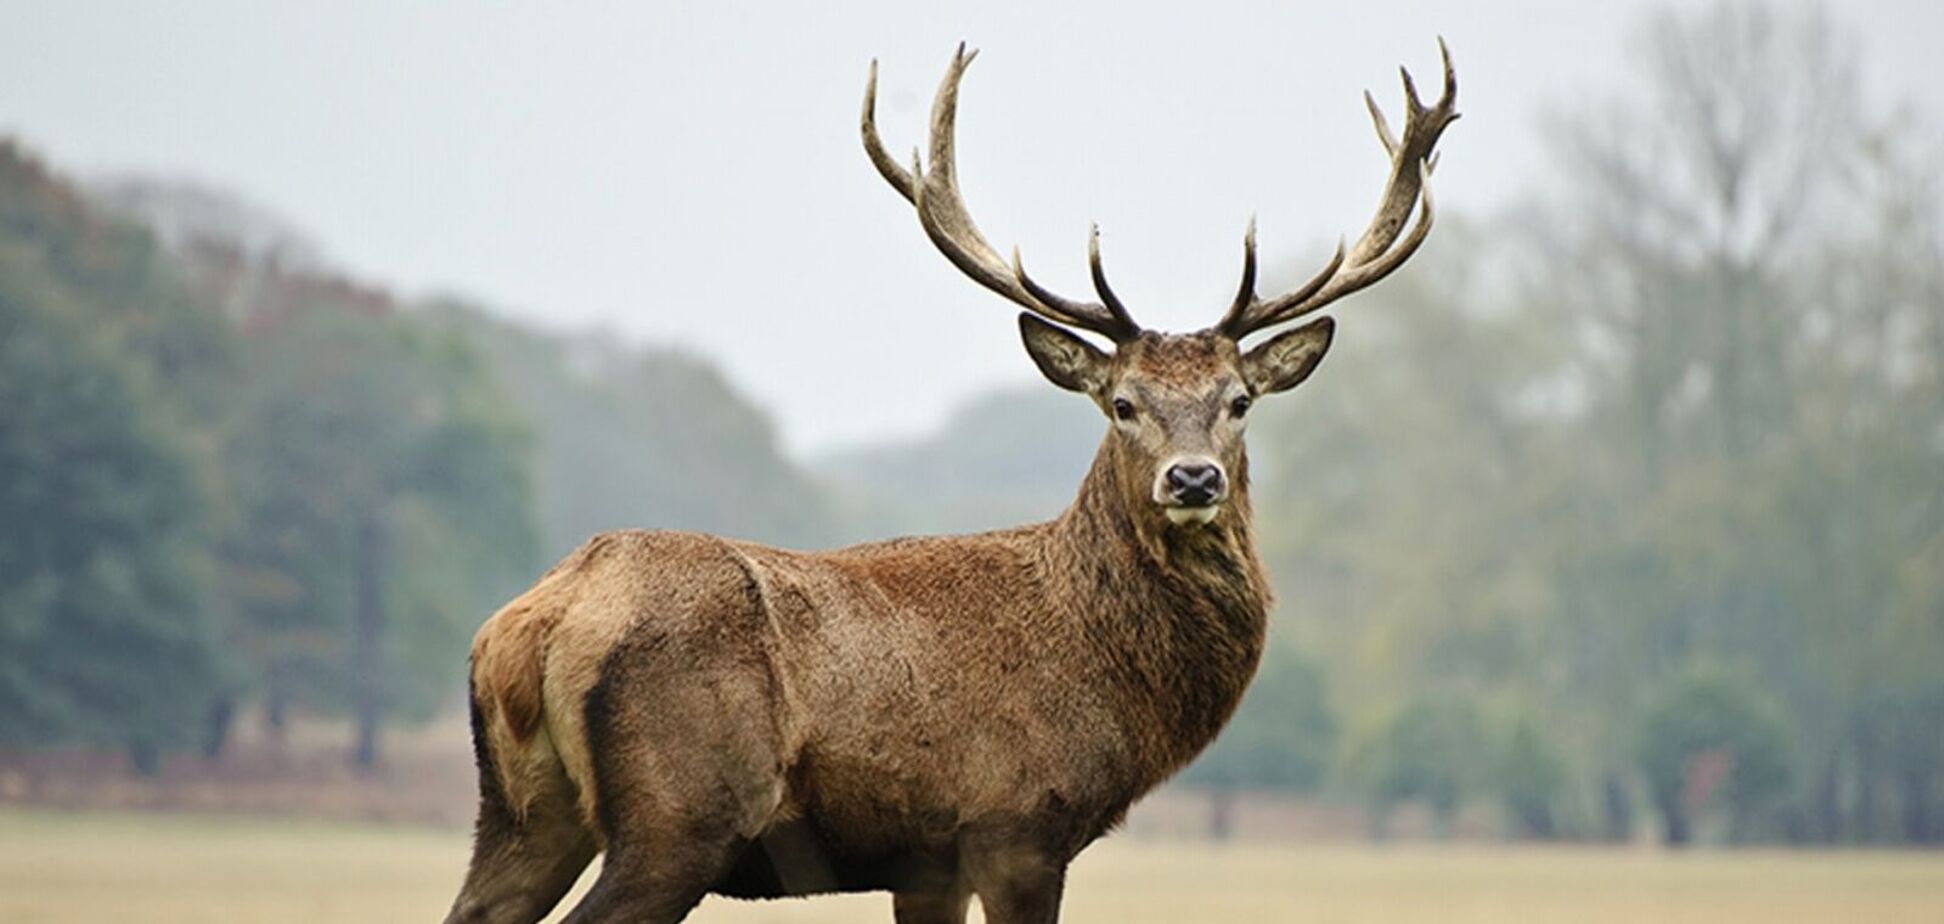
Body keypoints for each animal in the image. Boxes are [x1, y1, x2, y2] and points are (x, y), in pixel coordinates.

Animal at [447, 37, 1461, 924]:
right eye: (1122, 403)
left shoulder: (925, 861)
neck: (1105, 674)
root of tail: (534, 621)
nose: (1193, 478)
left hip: (522, 811)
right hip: (679, 813)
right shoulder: (1018, 822)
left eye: (1239, 399)